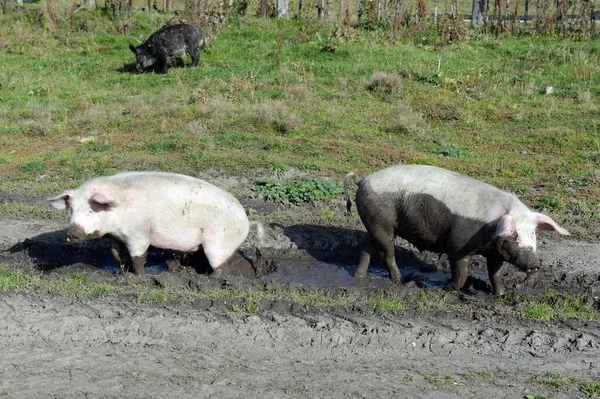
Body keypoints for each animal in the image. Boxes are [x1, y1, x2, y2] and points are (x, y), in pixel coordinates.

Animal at [47, 172, 251, 276]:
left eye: (91, 210)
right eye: (71, 210)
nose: (71, 233)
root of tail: (246, 220)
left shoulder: (138, 235)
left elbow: (138, 256)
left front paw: (138, 276)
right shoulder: (116, 236)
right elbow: (115, 253)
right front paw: (122, 270)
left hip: (219, 243)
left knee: (220, 267)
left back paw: (208, 280)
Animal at [344, 164, 568, 296]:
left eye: (533, 233)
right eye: (514, 234)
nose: (534, 264)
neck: (490, 224)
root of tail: (363, 180)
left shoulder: (495, 253)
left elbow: (495, 272)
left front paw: (501, 295)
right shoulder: (458, 243)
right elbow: (461, 270)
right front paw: (447, 289)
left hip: (373, 222)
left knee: (367, 246)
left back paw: (359, 277)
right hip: (381, 220)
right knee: (387, 251)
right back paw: (399, 281)